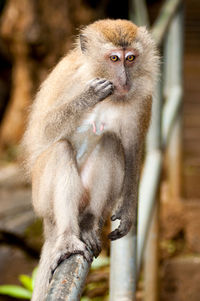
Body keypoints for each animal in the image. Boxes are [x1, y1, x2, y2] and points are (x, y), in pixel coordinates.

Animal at [21, 19, 159, 300]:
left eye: (130, 58)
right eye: (114, 58)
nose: (124, 79)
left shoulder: (143, 96)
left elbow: (132, 149)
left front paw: (128, 211)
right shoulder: (66, 76)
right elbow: (40, 133)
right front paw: (88, 96)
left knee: (111, 143)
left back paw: (90, 221)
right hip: (41, 200)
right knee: (60, 149)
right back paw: (67, 238)